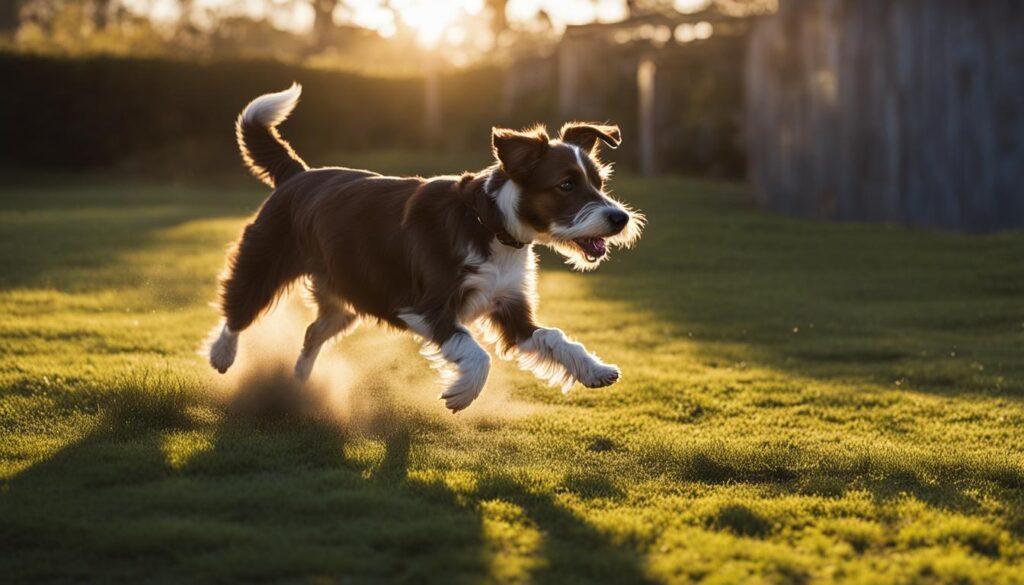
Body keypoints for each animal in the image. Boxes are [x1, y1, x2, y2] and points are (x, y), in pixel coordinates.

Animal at [203, 83, 643, 411]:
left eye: (599, 182)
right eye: (566, 184)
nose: (619, 218)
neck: (490, 225)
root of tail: (296, 174)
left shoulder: (511, 308)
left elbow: (554, 337)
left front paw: (595, 370)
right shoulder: (426, 305)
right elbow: (475, 352)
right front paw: (462, 393)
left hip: (346, 295)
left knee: (313, 331)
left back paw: (299, 380)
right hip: (264, 261)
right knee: (238, 308)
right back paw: (222, 356)